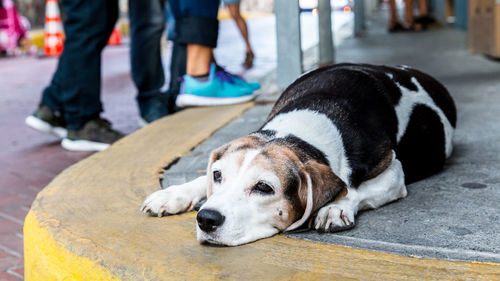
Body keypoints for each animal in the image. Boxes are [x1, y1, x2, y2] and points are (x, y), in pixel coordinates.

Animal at [141, 63, 458, 245]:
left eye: (264, 187)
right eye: (218, 175)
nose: (206, 219)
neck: (298, 130)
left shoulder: (392, 171)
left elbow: (353, 189)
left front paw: (336, 207)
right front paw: (174, 194)